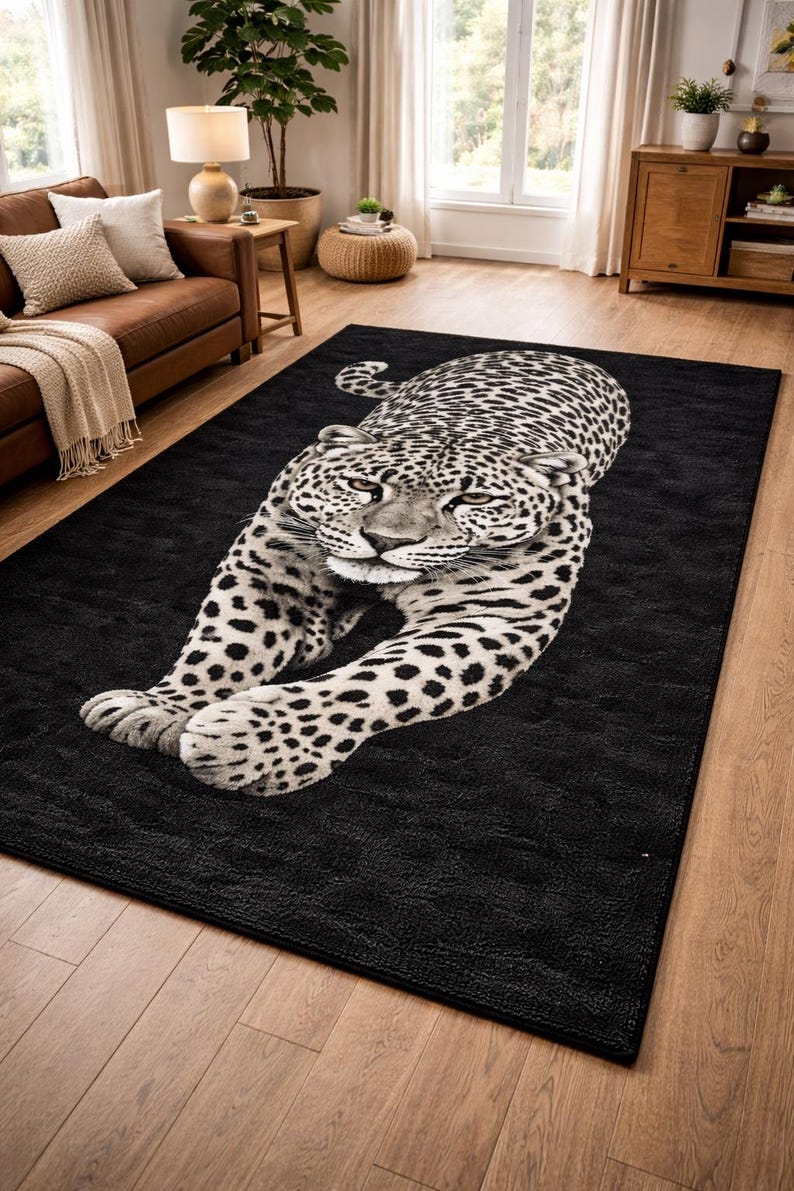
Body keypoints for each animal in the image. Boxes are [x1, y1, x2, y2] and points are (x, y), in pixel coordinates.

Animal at [81, 349, 630, 796]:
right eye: (363, 485)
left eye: (474, 499)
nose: (387, 541)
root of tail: (550, 351)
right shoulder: (271, 564)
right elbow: (226, 643)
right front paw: (162, 707)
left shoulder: (490, 615)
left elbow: (381, 681)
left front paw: (256, 743)